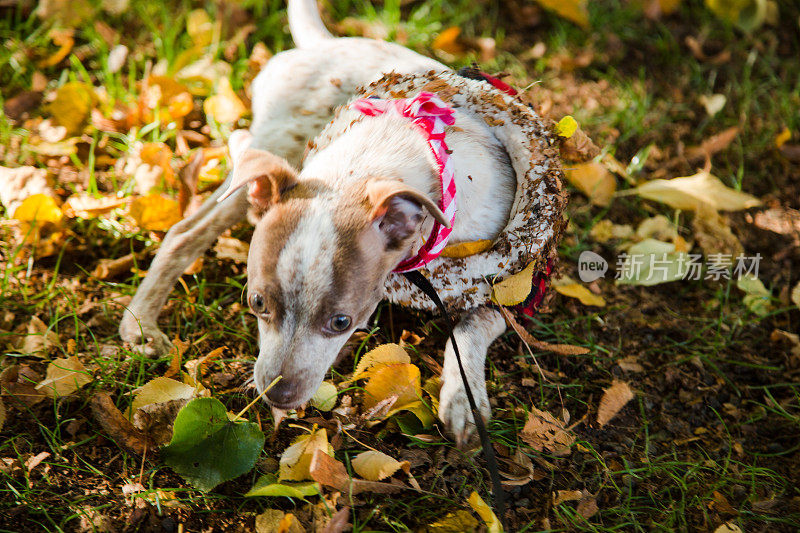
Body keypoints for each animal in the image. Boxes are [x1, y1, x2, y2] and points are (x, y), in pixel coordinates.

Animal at [120, 0, 564, 444]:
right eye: (256, 303)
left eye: (341, 323)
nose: (277, 394)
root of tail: (325, 44)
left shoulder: (512, 285)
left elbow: (474, 324)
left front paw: (464, 401)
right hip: (279, 147)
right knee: (188, 230)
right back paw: (140, 324)